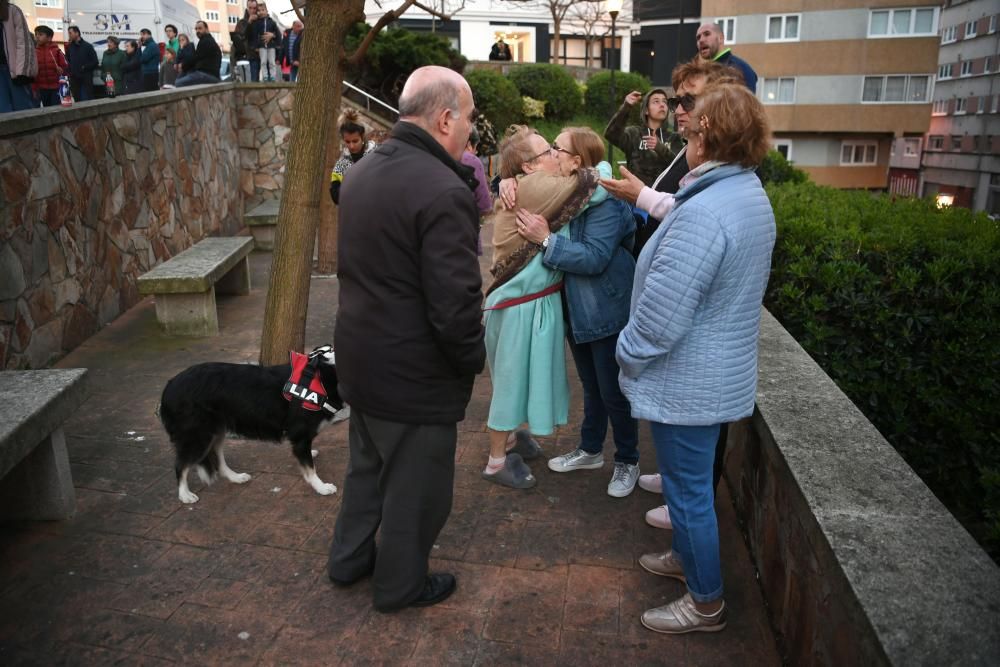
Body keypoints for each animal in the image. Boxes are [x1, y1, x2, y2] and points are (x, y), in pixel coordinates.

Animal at [158, 348, 350, 504]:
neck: (325, 377)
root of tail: (169, 385)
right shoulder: (300, 435)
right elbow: (310, 469)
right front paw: (321, 487)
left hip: (217, 431)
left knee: (218, 459)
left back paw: (235, 477)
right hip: (198, 437)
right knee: (180, 464)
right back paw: (184, 494)